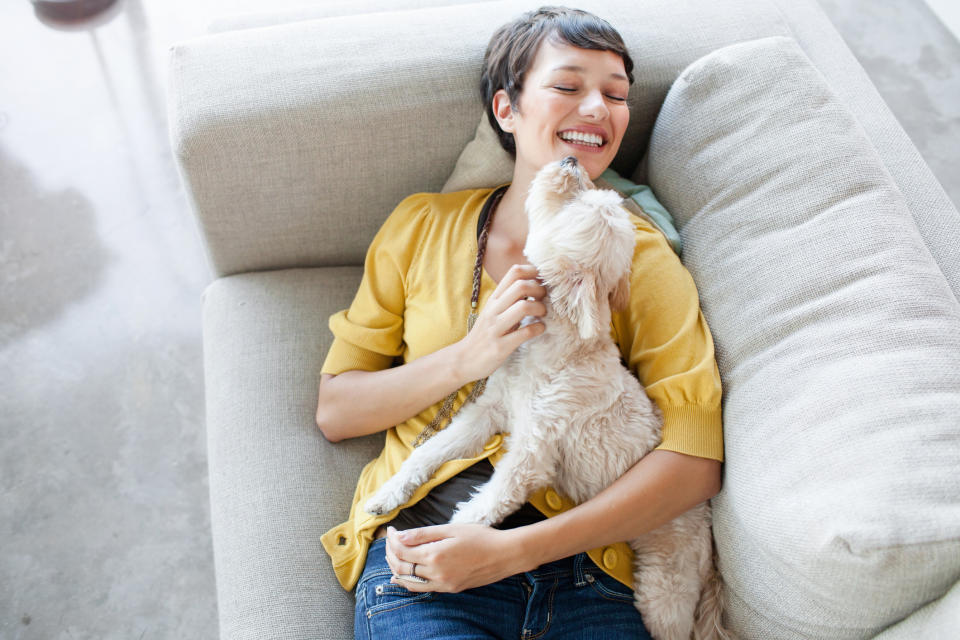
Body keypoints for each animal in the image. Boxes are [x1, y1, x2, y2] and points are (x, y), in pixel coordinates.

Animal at [366, 156, 728, 640]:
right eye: (587, 193)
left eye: (573, 206)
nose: (571, 161)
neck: (552, 350)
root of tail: (706, 534)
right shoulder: (488, 414)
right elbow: (429, 452)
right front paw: (389, 493)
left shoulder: (531, 454)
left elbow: (488, 504)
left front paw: (450, 545)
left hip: (664, 586)